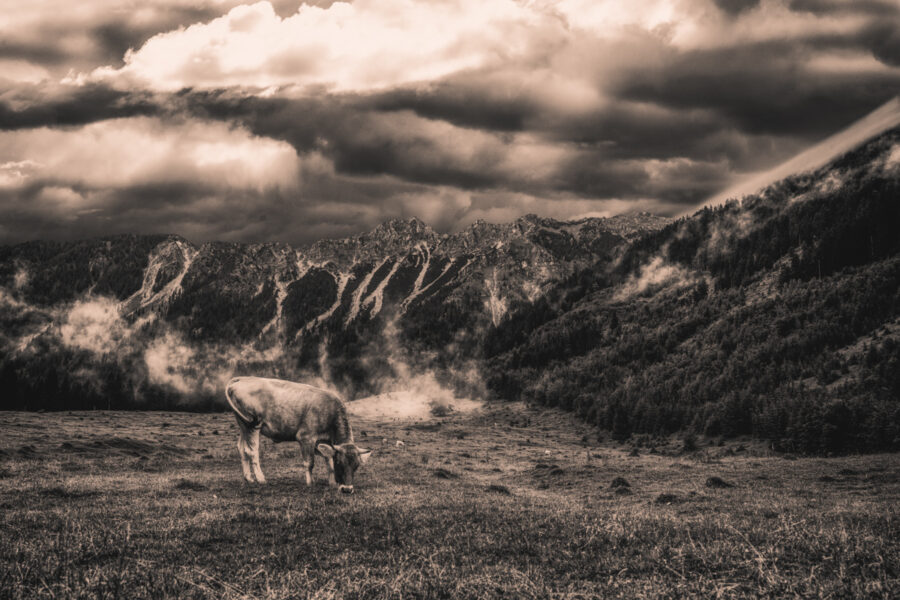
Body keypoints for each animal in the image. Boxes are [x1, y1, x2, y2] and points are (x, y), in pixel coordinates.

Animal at [227, 380, 370, 492]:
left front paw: (332, 483)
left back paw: (249, 478)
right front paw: (310, 483)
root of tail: (241, 381)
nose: (347, 489)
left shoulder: (323, 442)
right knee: (251, 451)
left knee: (241, 448)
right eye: (340, 463)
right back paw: (261, 479)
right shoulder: (306, 438)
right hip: (252, 425)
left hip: (243, 425)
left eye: (356, 465)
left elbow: (328, 460)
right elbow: (310, 462)